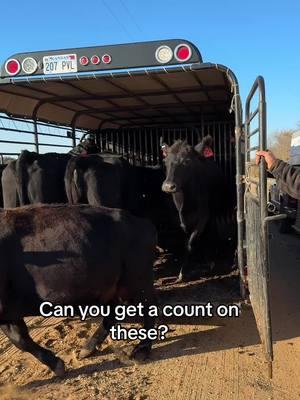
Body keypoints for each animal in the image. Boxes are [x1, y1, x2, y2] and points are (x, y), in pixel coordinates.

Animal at [0, 205, 156, 376]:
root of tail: (142, 222)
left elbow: (20, 340)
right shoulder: (9, 312)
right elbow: (20, 339)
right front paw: (56, 364)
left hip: (138, 279)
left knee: (149, 308)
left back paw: (142, 349)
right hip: (115, 286)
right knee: (114, 312)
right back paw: (89, 348)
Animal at [162, 138, 230, 282]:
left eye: (186, 161)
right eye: (165, 161)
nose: (168, 186)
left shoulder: (203, 218)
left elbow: (190, 242)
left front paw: (183, 271)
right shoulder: (177, 222)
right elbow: (185, 243)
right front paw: (182, 271)